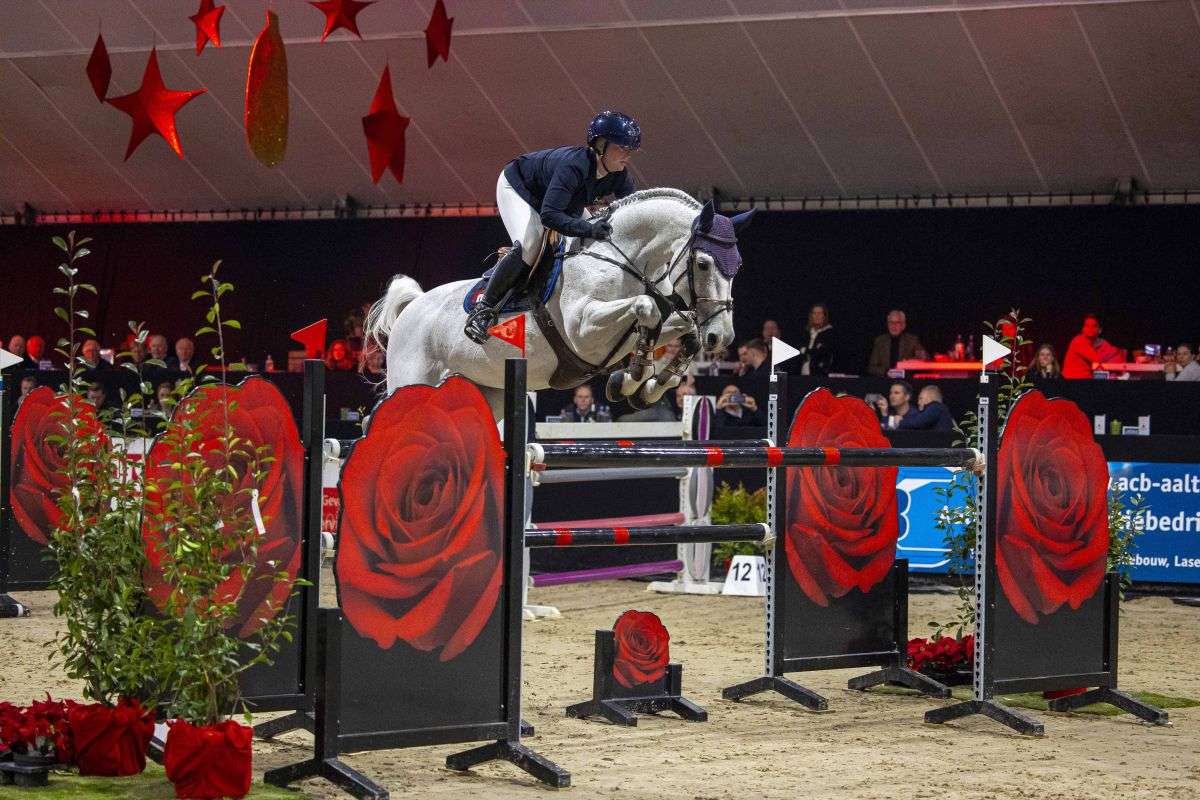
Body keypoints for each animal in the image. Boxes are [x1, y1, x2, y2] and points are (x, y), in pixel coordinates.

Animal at [362, 188, 748, 422]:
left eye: (738, 265)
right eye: (703, 264)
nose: (722, 337)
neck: (621, 258)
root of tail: (413, 306)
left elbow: (682, 328)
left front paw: (648, 385)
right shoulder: (584, 331)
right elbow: (646, 309)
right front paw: (633, 378)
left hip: (487, 390)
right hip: (414, 376)